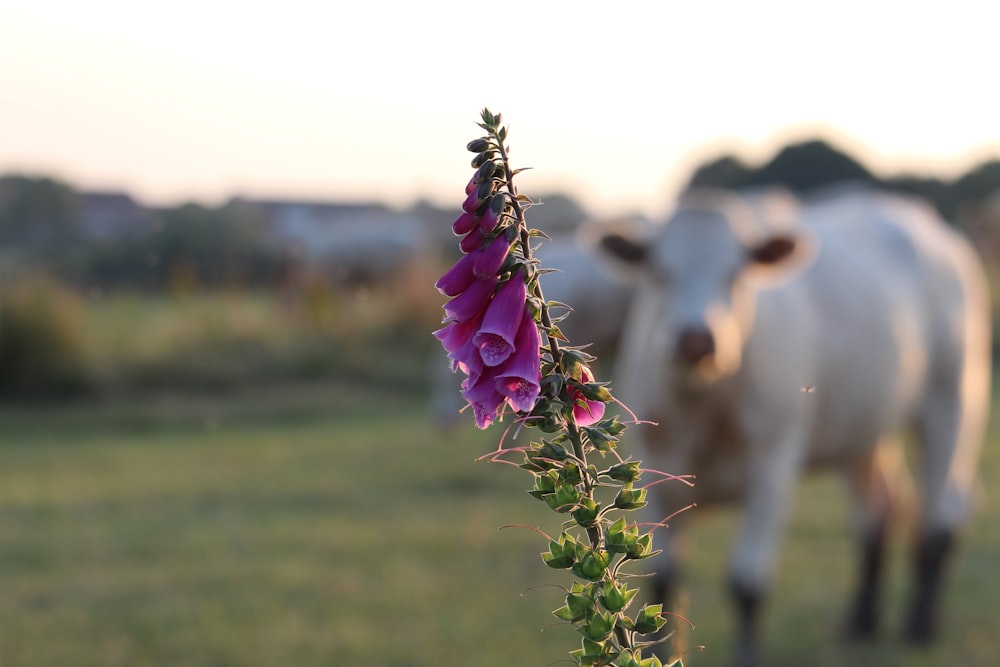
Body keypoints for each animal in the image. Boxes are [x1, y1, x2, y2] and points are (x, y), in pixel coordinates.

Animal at [592, 184, 992, 667]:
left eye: (735, 274)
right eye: (659, 273)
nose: (697, 339)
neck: (703, 411)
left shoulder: (772, 467)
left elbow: (746, 581)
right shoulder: (654, 470)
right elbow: (665, 583)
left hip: (952, 400)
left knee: (941, 517)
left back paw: (920, 626)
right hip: (861, 432)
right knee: (879, 511)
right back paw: (862, 623)